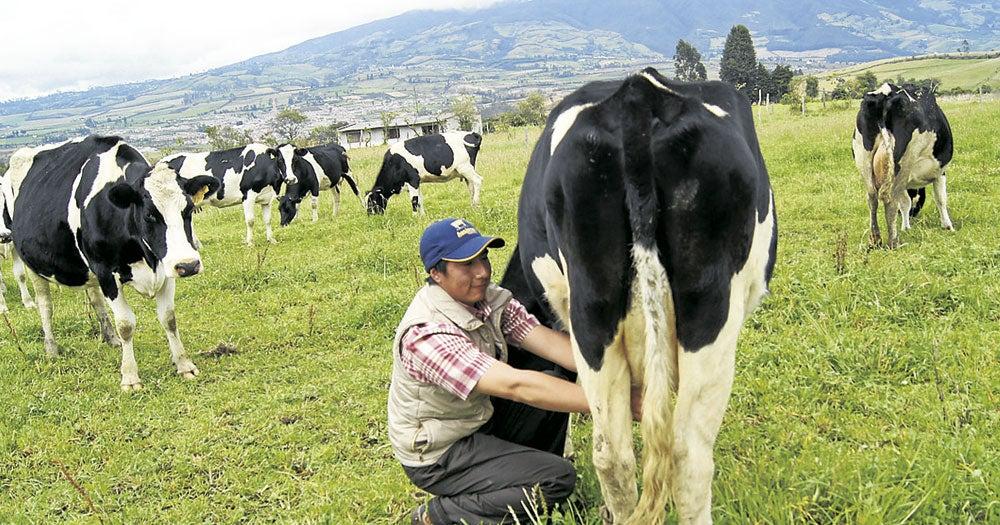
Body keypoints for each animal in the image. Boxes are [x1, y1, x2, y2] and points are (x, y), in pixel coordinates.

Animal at [6, 135, 219, 388]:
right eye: (149, 215)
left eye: (188, 209)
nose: (188, 265)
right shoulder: (106, 272)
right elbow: (126, 324)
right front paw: (130, 376)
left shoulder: (165, 267)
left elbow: (169, 318)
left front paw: (184, 365)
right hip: (34, 266)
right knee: (45, 305)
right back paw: (51, 349)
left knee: (95, 298)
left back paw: (110, 338)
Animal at [155, 143, 290, 246]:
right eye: (280, 160)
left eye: (293, 160)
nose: (290, 178)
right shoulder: (248, 196)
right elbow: (250, 220)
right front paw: (250, 243)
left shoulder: (267, 198)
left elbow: (268, 220)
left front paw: (271, 240)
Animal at [852, 82, 952, 248]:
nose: (914, 215)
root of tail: (885, 93)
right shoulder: (939, 172)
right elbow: (940, 198)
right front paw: (947, 226)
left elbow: (905, 202)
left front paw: (906, 227)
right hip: (902, 163)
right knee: (889, 199)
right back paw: (894, 241)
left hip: (864, 162)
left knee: (872, 198)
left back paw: (875, 239)